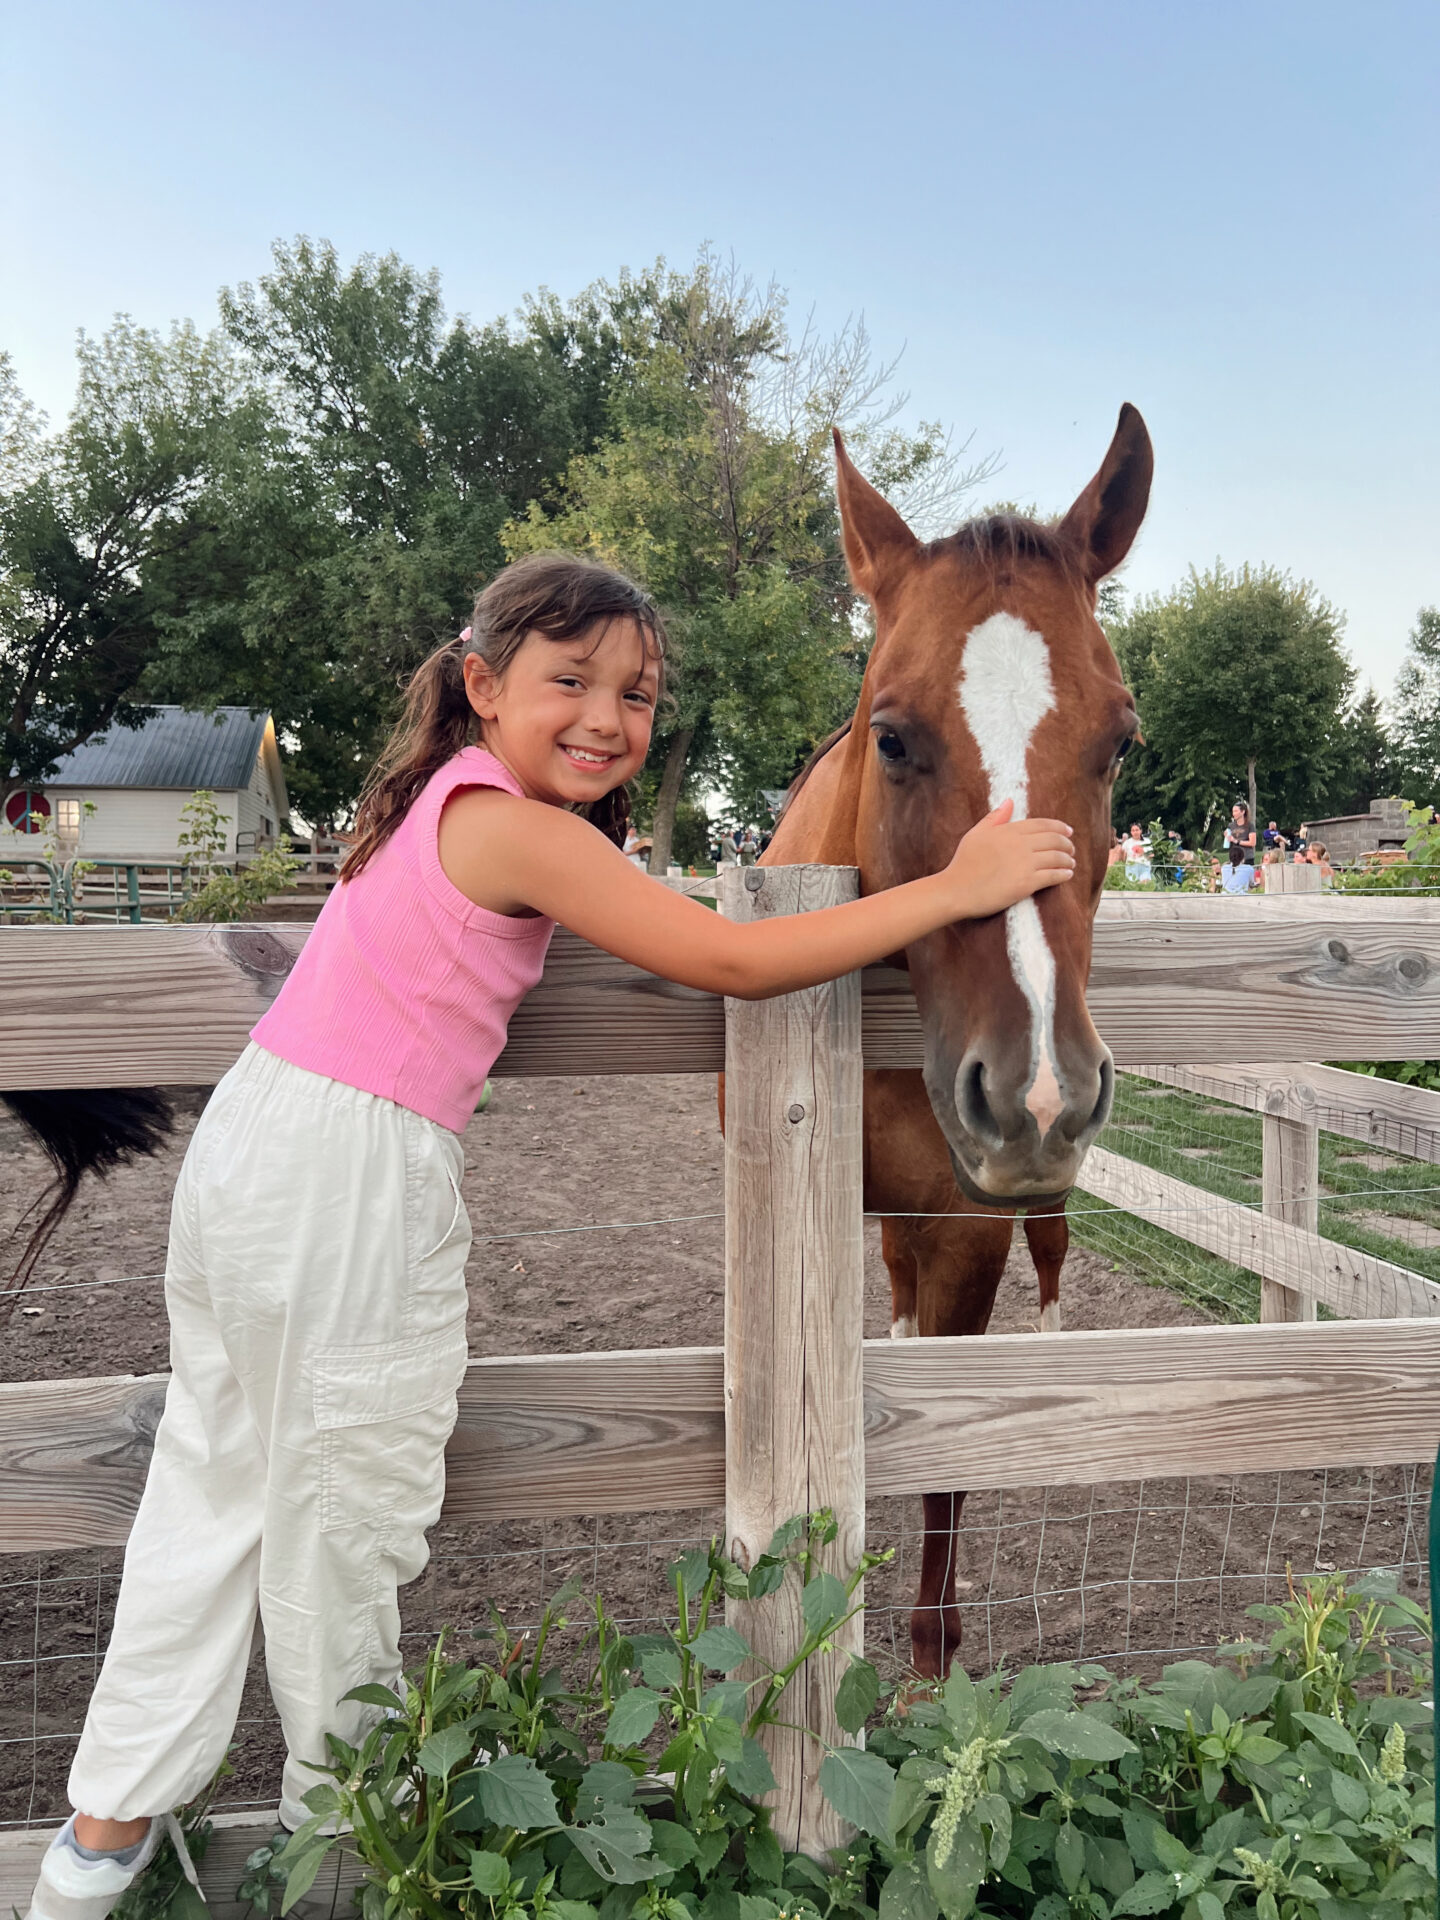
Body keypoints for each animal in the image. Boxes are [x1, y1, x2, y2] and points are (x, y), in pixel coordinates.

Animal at [768, 408, 1152, 1681]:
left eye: (1121, 743)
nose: (1037, 1097)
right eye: (891, 739)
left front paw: (933, 1655)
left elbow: (953, 1463)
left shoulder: (971, 1232)